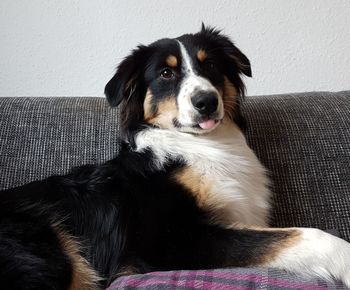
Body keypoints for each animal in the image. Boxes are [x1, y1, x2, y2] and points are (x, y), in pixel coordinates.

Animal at [0, 26, 350, 288]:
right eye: (167, 73)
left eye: (210, 65)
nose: (206, 101)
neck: (199, 145)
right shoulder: (170, 242)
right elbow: (307, 236)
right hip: (51, 252)